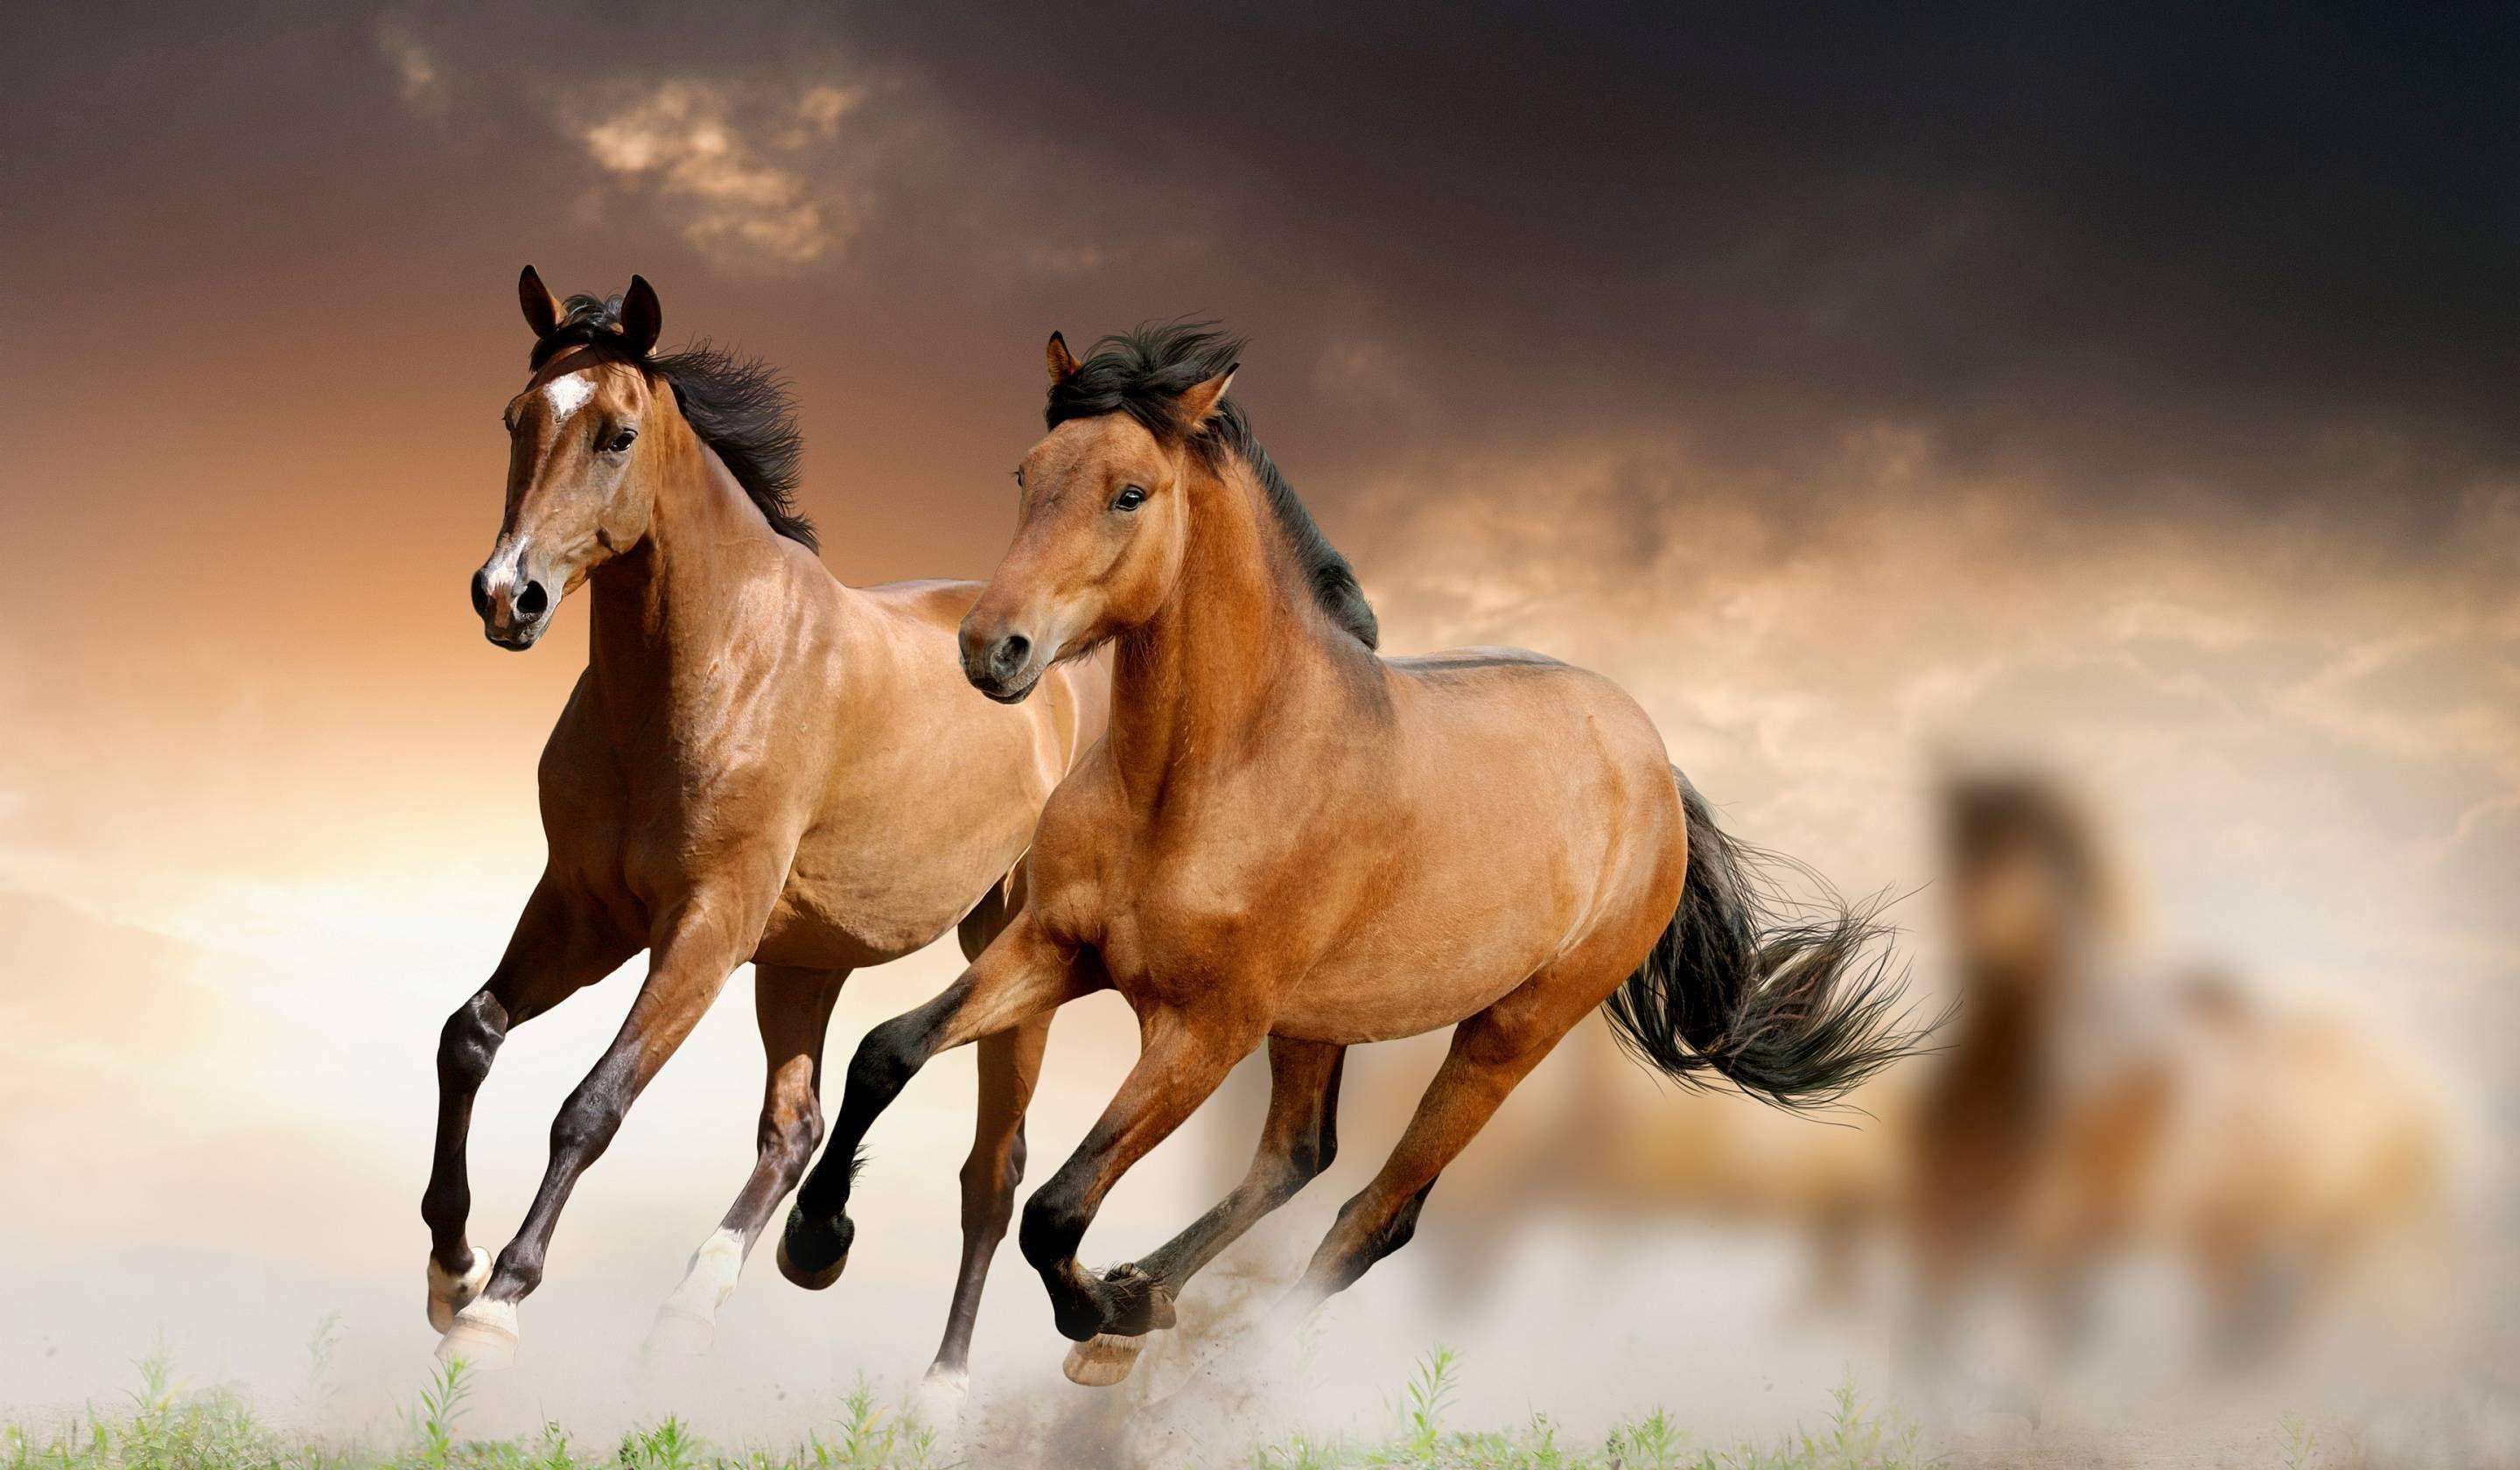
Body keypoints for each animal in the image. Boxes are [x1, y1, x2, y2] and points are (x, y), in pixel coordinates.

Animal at [424, 269, 1102, 1399]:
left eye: (616, 435)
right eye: (517, 419)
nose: (506, 596)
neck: (713, 666)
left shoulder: (705, 927)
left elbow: (593, 1104)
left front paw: (496, 1309)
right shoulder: (583, 911)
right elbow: (468, 1036)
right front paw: (450, 1268)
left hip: (1008, 956)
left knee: (990, 1175)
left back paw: (941, 1388)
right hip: (803, 961)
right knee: (796, 1130)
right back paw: (710, 1297)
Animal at [773, 323, 1927, 1388]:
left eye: (1131, 493)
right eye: (1027, 473)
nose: (991, 650)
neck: (1206, 775)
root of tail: (1654, 766)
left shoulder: (1205, 1030)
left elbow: (1056, 1210)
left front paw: (1100, 1310)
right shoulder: (1057, 948)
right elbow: (886, 1051)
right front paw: (815, 1245)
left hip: (1507, 1032)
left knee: (1374, 1217)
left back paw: (1189, 1354)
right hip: (1318, 1021)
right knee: (1299, 1156)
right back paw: (1148, 1297)